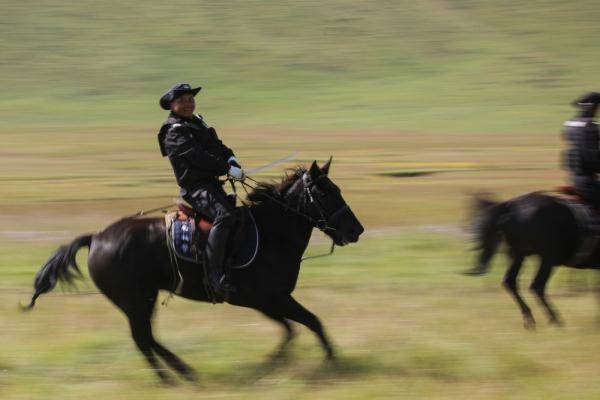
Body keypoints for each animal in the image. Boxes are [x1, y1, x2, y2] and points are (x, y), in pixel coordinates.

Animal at [24, 159, 360, 382]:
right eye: (326, 193)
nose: (356, 230)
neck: (271, 232)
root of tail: (96, 238)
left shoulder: (265, 302)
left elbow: (293, 329)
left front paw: (274, 363)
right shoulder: (269, 299)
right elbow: (311, 322)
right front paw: (332, 362)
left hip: (142, 299)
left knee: (148, 338)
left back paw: (186, 374)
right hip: (134, 300)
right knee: (143, 339)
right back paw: (173, 380)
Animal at [466, 193, 596, 328]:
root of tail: (511, 206)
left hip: (519, 255)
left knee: (510, 282)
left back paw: (529, 319)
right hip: (546, 259)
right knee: (536, 286)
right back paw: (555, 321)